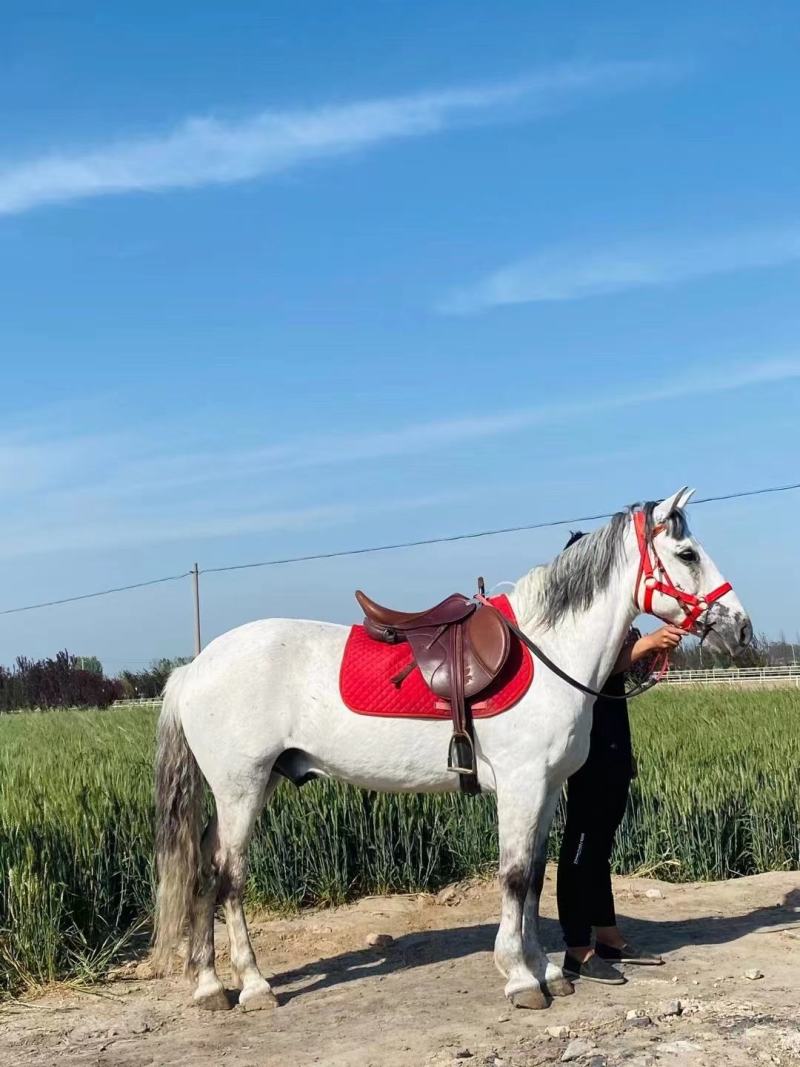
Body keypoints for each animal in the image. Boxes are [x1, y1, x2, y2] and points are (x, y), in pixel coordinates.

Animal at [152, 487, 751, 1012]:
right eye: (688, 554)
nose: (741, 629)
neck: (548, 651)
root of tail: (193, 669)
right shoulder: (520, 785)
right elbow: (514, 876)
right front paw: (519, 977)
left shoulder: (546, 789)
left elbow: (536, 877)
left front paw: (545, 969)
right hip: (242, 788)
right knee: (229, 875)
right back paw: (253, 987)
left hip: (253, 785)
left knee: (204, 870)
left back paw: (209, 987)